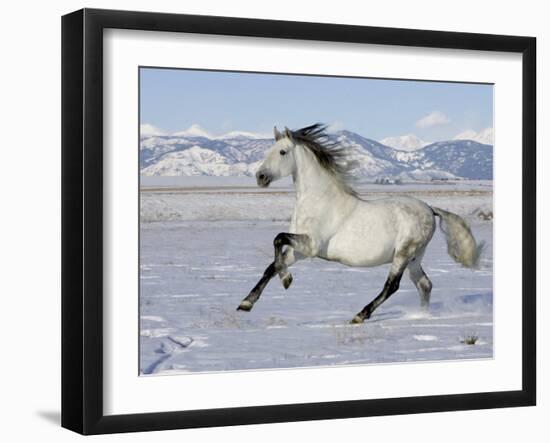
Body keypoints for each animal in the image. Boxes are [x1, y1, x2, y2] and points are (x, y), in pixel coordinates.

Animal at [235, 123, 486, 324]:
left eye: (282, 152)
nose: (260, 177)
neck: (317, 199)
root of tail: (430, 208)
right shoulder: (302, 250)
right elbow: (272, 265)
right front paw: (247, 303)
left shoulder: (311, 245)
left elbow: (278, 238)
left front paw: (286, 280)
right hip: (415, 257)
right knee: (424, 284)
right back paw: (422, 316)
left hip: (404, 253)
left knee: (392, 286)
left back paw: (360, 315)